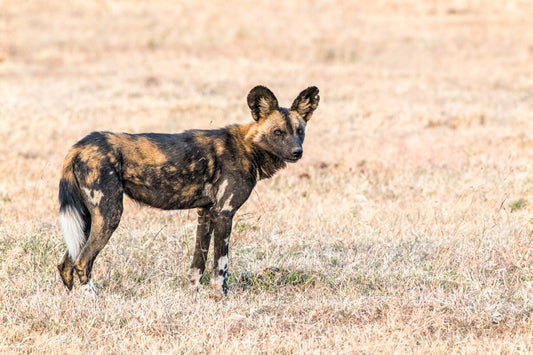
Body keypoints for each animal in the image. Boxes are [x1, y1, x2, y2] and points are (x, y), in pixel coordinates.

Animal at [57, 86, 320, 298]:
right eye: (278, 132)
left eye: (300, 131)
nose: (297, 152)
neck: (248, 146)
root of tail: (80, 145)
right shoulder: (224, 213)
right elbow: (221, 264)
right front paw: (221, 296)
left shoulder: (206, 212)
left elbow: (198, 261)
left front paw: (195, 291)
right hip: (109, 214)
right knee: (82, 262)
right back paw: (93, 298)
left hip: (87, 219)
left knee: (67, 263)